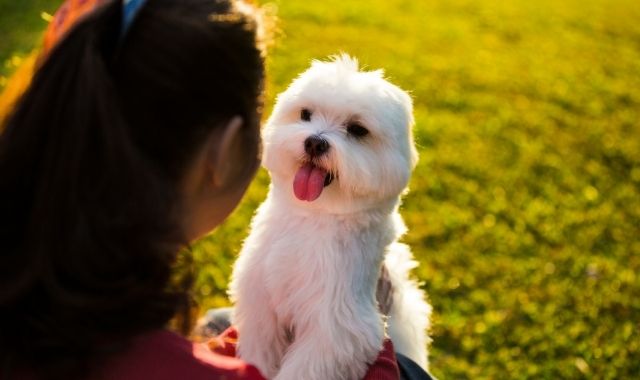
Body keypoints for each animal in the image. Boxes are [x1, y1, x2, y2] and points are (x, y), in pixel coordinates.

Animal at [230, 54, 430, 380]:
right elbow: (260, 348)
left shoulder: (337, 329)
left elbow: (304, 368)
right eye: (306, 114)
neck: (313, 216)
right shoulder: (259, 301)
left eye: (357, 130)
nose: (315, 142)